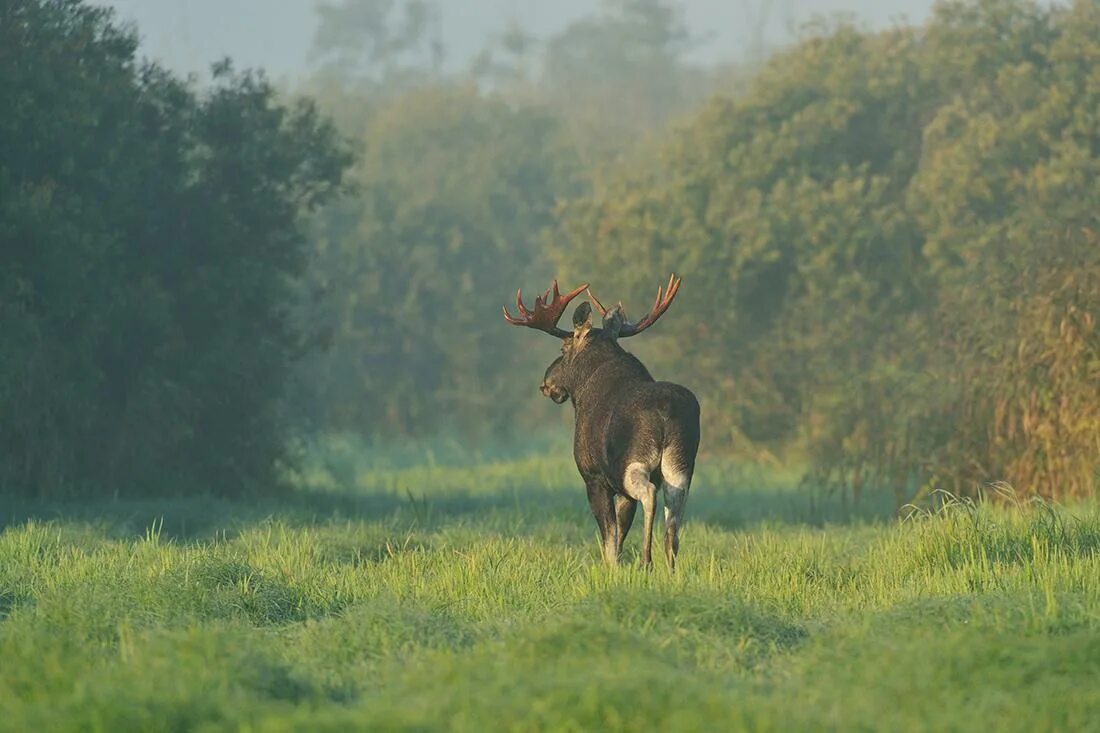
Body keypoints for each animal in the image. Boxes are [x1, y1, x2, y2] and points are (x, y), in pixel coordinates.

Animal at [503, 277, 699, 567]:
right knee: (673, 519)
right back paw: (669, 567)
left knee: (650, 494)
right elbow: (619, 536)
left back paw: (647, 560)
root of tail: (666, 414)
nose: (546, 383)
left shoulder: (593, 476)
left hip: (631, 463)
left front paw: (612, 570)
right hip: (680, 465)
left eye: (563, 348)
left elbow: (609, 539)